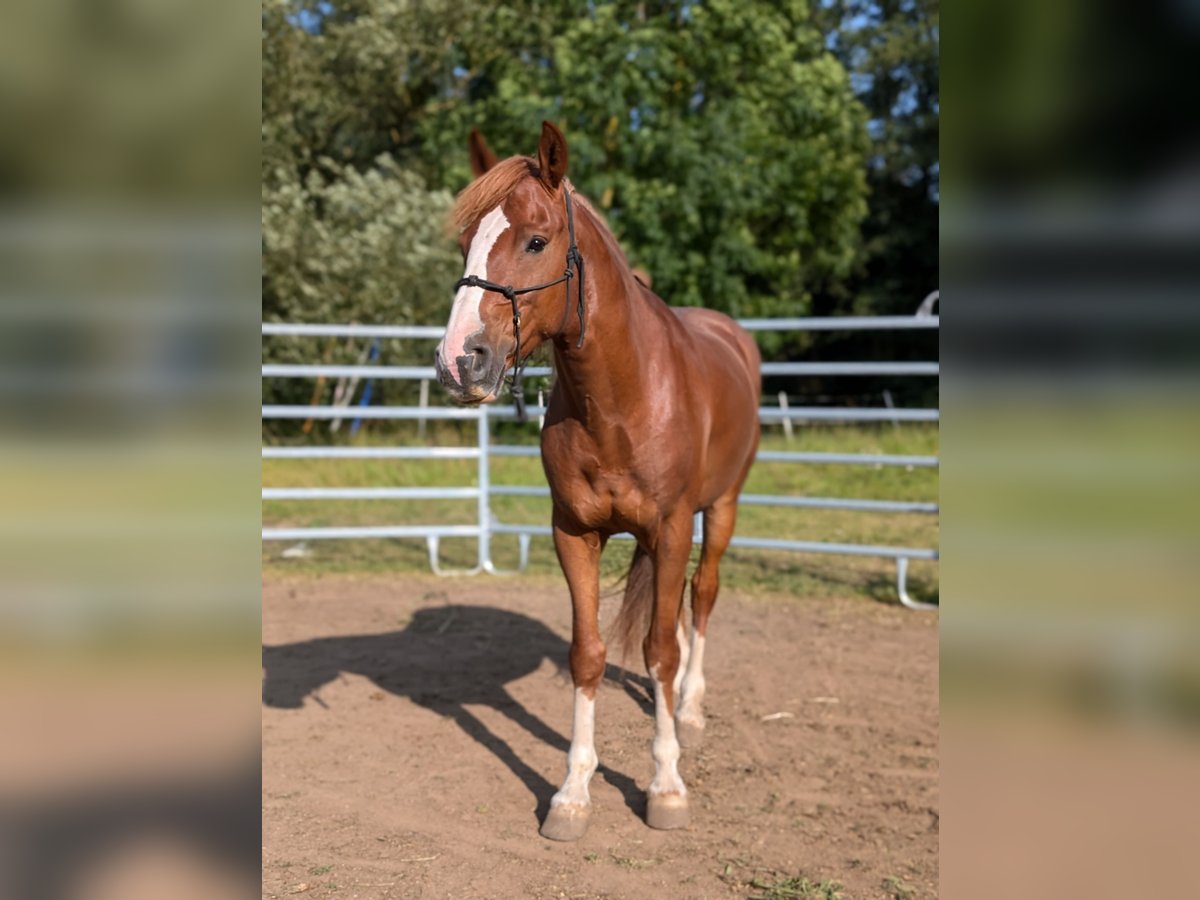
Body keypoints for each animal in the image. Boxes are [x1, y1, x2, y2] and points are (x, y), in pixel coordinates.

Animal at [436, 123, 758, 844]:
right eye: (465, 241)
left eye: (536, 240)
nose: (457, 360)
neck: (620, 397)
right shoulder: (574, 532)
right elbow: (588, 654)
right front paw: (572, 795)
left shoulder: (672, 530)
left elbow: (662, 650)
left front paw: (665, 786)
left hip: (722, 508)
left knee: (702, 597)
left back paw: (690, 712)